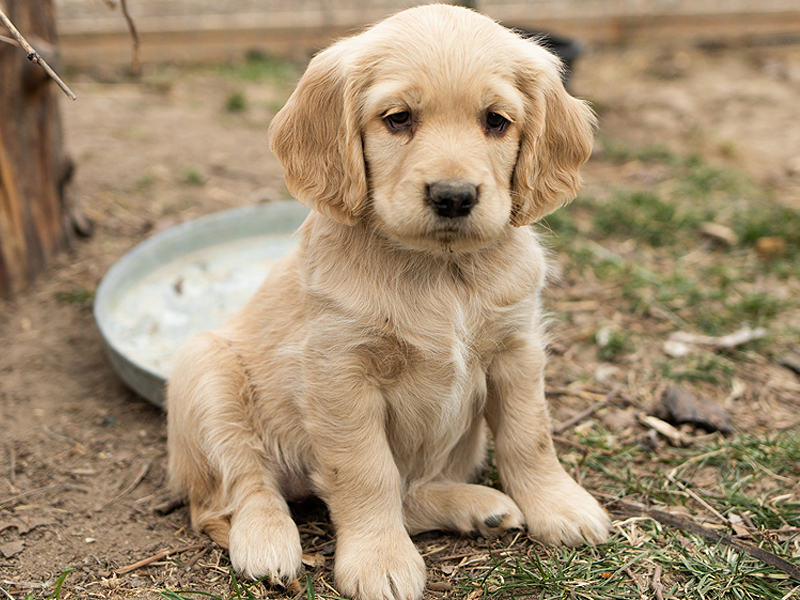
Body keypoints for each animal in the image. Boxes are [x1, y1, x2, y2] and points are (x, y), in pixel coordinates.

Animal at [166, 4, 608, 600]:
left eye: (495, 121)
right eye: (397, 119)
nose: (453, 197)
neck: (439, 271)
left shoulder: (517, 350)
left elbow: (529, 436)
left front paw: (559, 505)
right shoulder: (341, 374)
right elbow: (365, 473)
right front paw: (379, 560)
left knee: (409, 493)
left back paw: (476, 506)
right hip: (206, 372)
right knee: (240, 487)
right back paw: (266, 542)